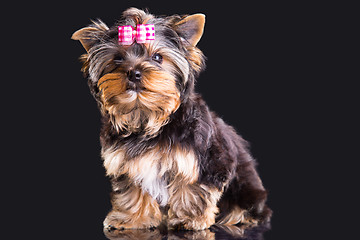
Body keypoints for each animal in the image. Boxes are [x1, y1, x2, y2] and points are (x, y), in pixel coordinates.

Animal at [71, 7, 272, 232]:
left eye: (157, 57)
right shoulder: (127, 162)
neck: (147, 118)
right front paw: (132, 218)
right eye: (118, 59)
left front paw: (189, 219)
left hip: (247, 188)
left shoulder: (201, 160)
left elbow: (192, 186)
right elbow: (132, 189)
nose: (133, 73)